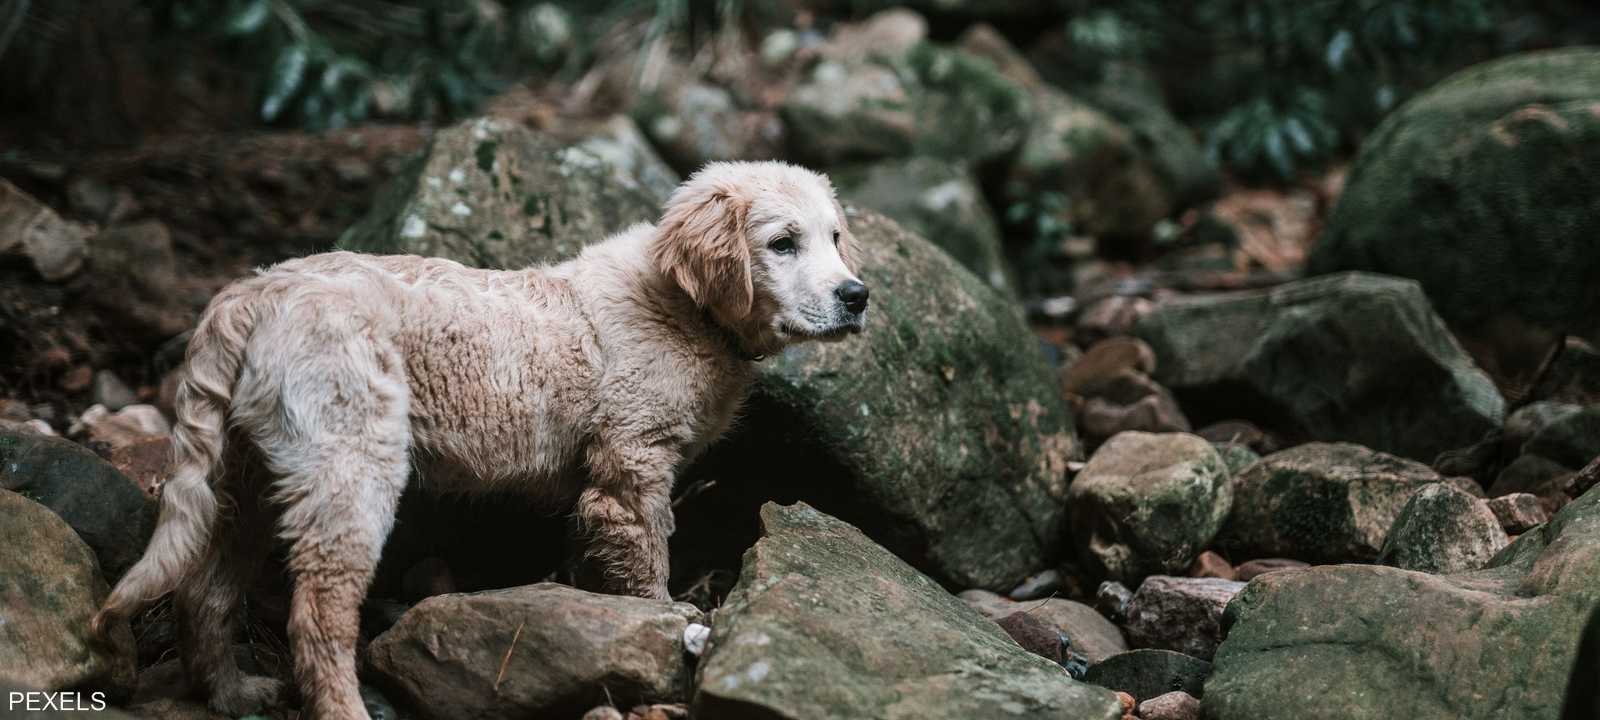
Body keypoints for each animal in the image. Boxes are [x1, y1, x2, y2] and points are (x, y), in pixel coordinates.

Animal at [93, 161, 870, 720]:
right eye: (783, 243)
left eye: (835, 239)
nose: (858, 296)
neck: (684, 305)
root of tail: (250, 295)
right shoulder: (633, 463)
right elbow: (646, 562)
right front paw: (665, 624)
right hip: (351, 463)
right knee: (317, 617)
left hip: (247, 473)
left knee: (205, 591)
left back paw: (232, 694)